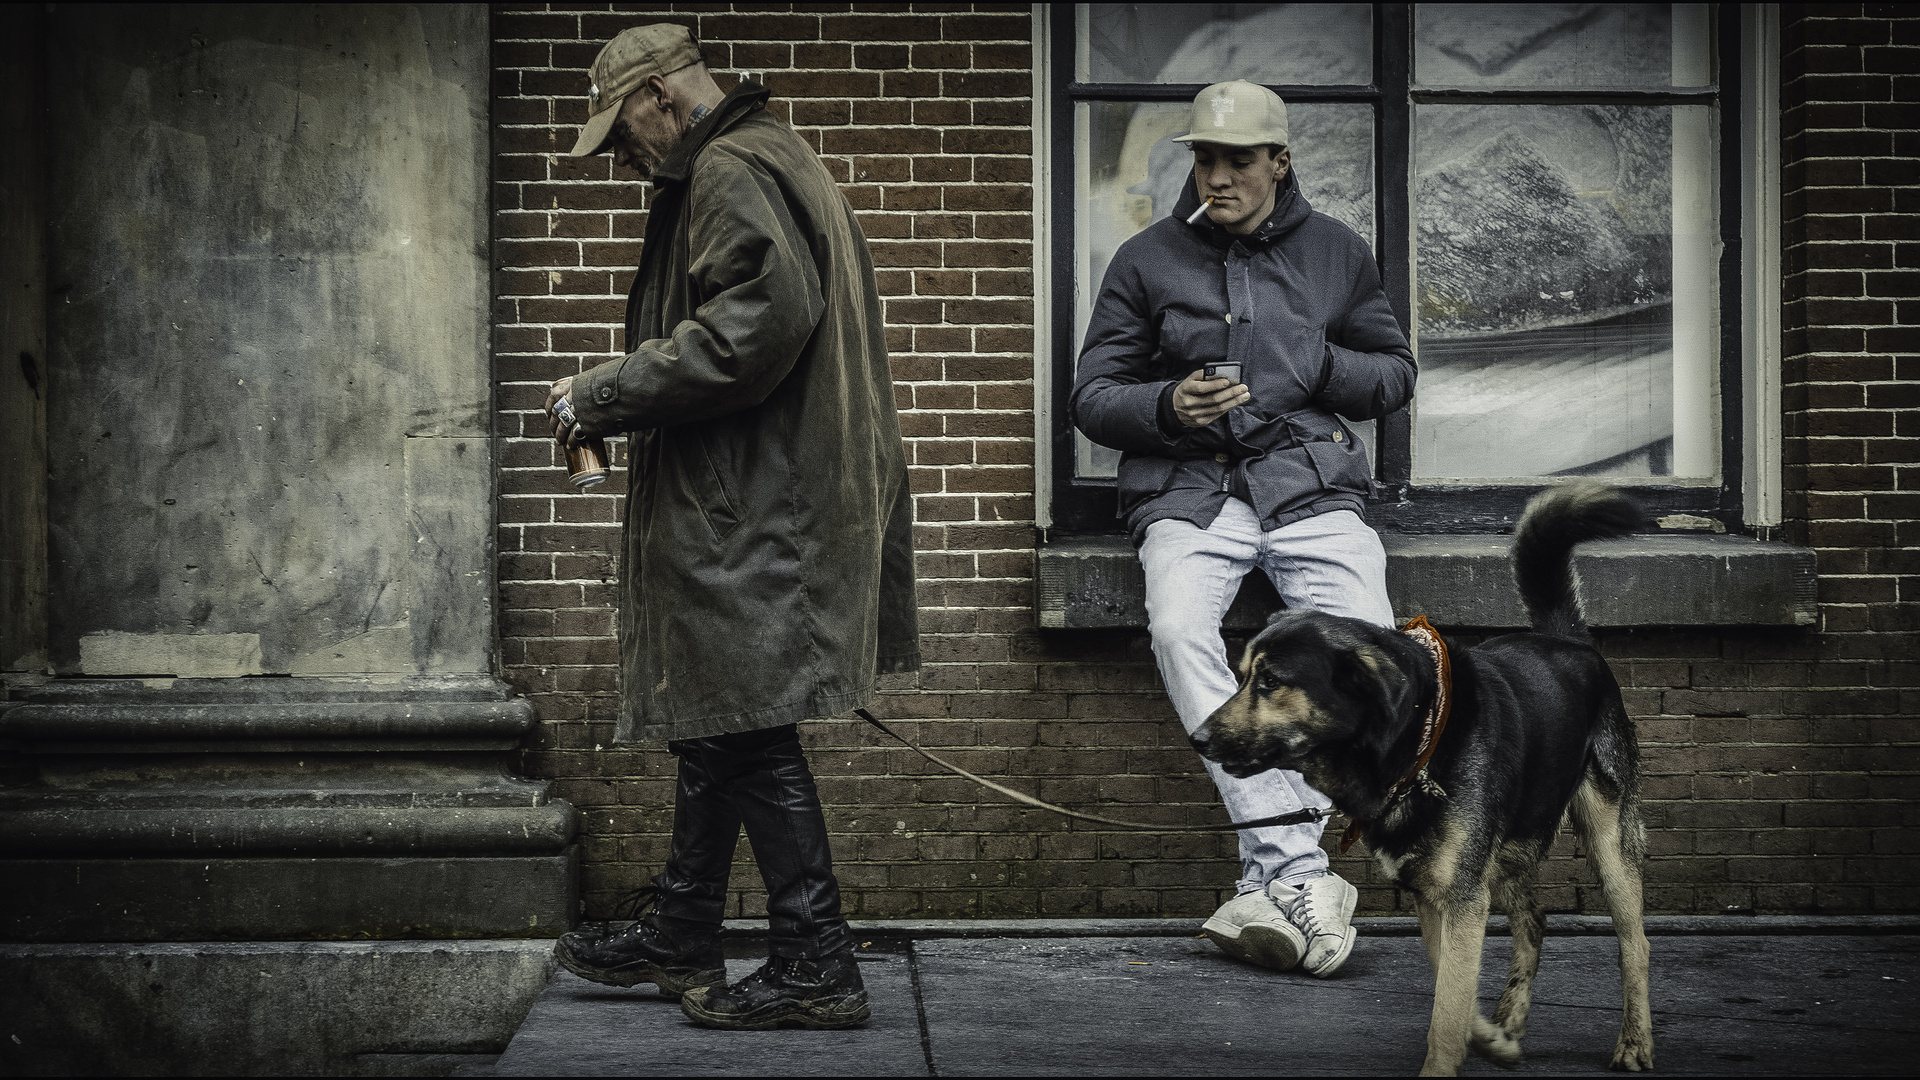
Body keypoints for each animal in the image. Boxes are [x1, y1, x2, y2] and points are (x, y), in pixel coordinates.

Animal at [1182, 484, 1651, 1068]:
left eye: (1270, 682)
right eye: (1243, 677)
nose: (1198, 738)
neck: (1419, 745)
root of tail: (1568, 641)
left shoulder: (1462, 897)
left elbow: (1448, 1009)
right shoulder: (1437, 897)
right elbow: (1452, 989)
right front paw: (1487, 1035)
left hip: (1609, 841)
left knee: (1634, 943)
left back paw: (1634, 1042)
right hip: (1510, 849)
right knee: (1534, 922)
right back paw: (1510, 1020)